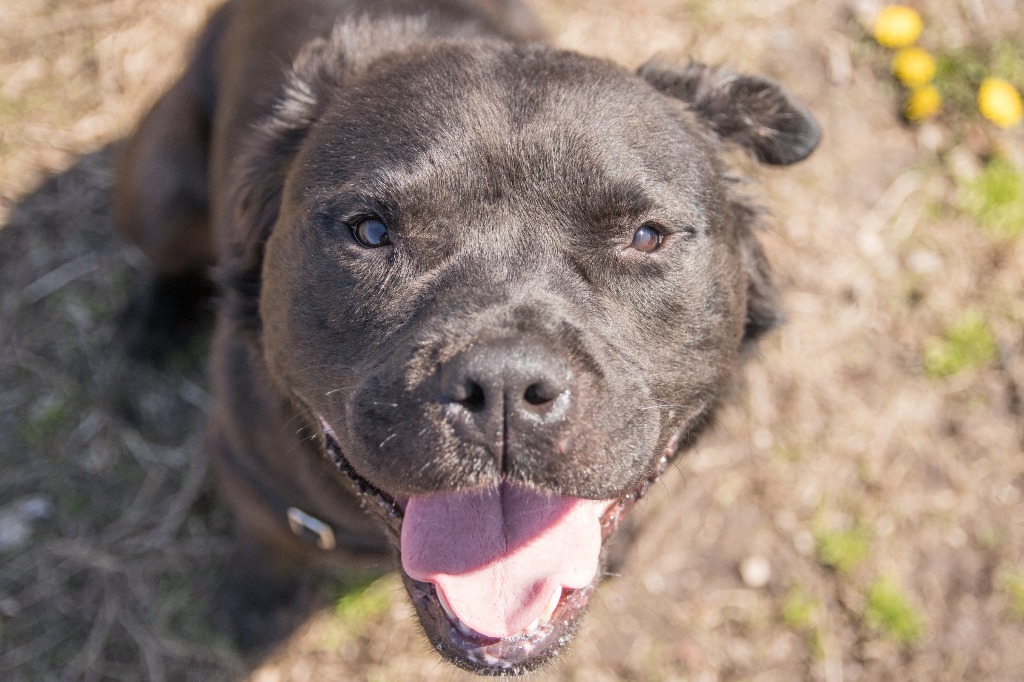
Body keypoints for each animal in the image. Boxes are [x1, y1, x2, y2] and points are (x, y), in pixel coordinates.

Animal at [114, 0, 815, 667]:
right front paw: (255, 603)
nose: (505, 385)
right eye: (371, 231)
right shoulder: (248, 471)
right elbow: (268, 542)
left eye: (646, 236)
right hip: (161, 197)